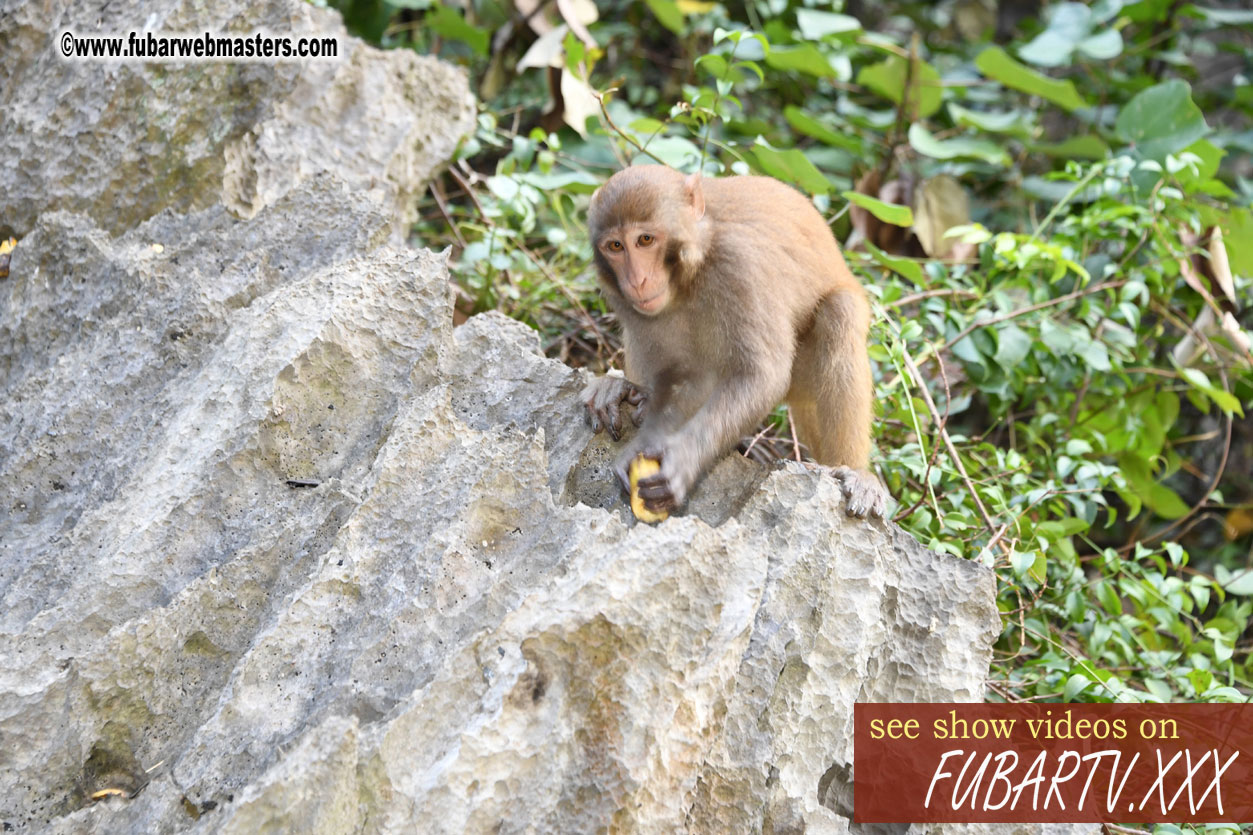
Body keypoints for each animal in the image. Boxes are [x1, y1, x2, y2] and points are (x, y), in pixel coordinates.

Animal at [578, 165, 892, 516]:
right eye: (615, 246)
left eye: (645, 239)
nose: (637, 281)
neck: (693, 270)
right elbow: (683, 378)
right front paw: (647, 438)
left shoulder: (739, 266)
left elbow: (762, 376)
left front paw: (682, 461)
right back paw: (626, 390)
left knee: (840, 313)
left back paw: (854, 470)